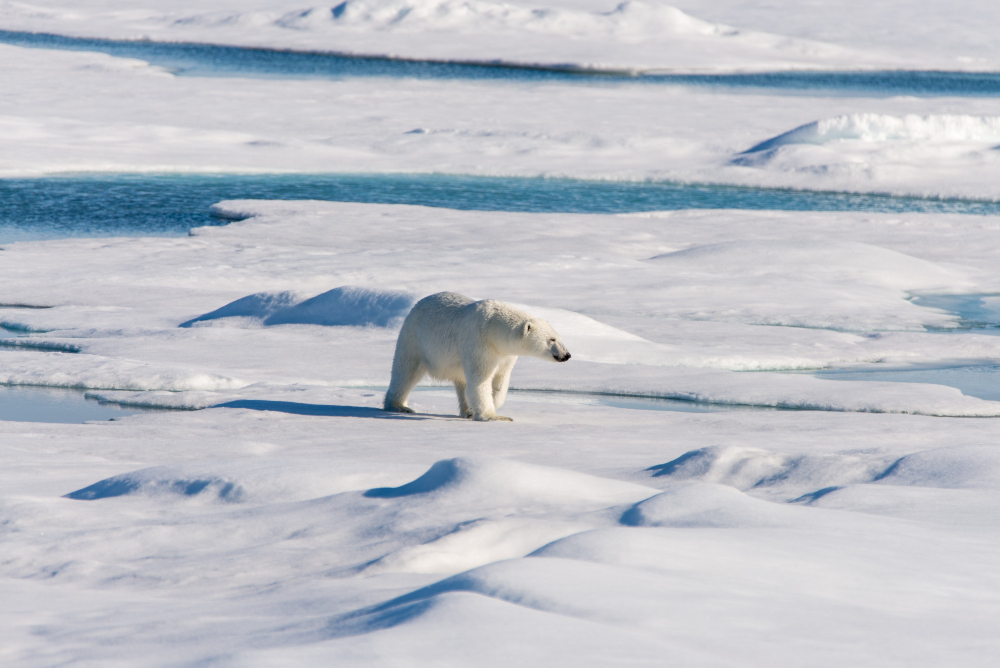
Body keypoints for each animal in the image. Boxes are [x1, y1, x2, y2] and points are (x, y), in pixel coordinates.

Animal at [382, 294, 572, 422]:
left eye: (558, 337)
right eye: (552, 339)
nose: (567, 355)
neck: (494, 328)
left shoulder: (505, 354)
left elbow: (500, 380)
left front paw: (489, 405)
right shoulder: (479, 343)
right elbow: (480, 378)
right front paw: (492, 416)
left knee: (461, 381)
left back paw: (467, 411)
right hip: (415, 339)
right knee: (406, 371)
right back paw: (399, 406)